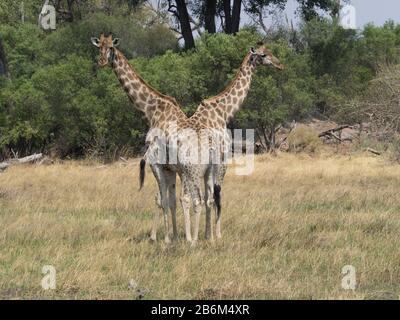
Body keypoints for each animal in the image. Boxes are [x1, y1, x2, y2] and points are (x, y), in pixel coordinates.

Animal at [191, 45, 284, 240]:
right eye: (263, 55)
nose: (280, 65)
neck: (223, 112)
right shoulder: (223, 158)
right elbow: (217, 196)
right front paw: (217, 235)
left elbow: (209, 197)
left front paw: (208, 235)